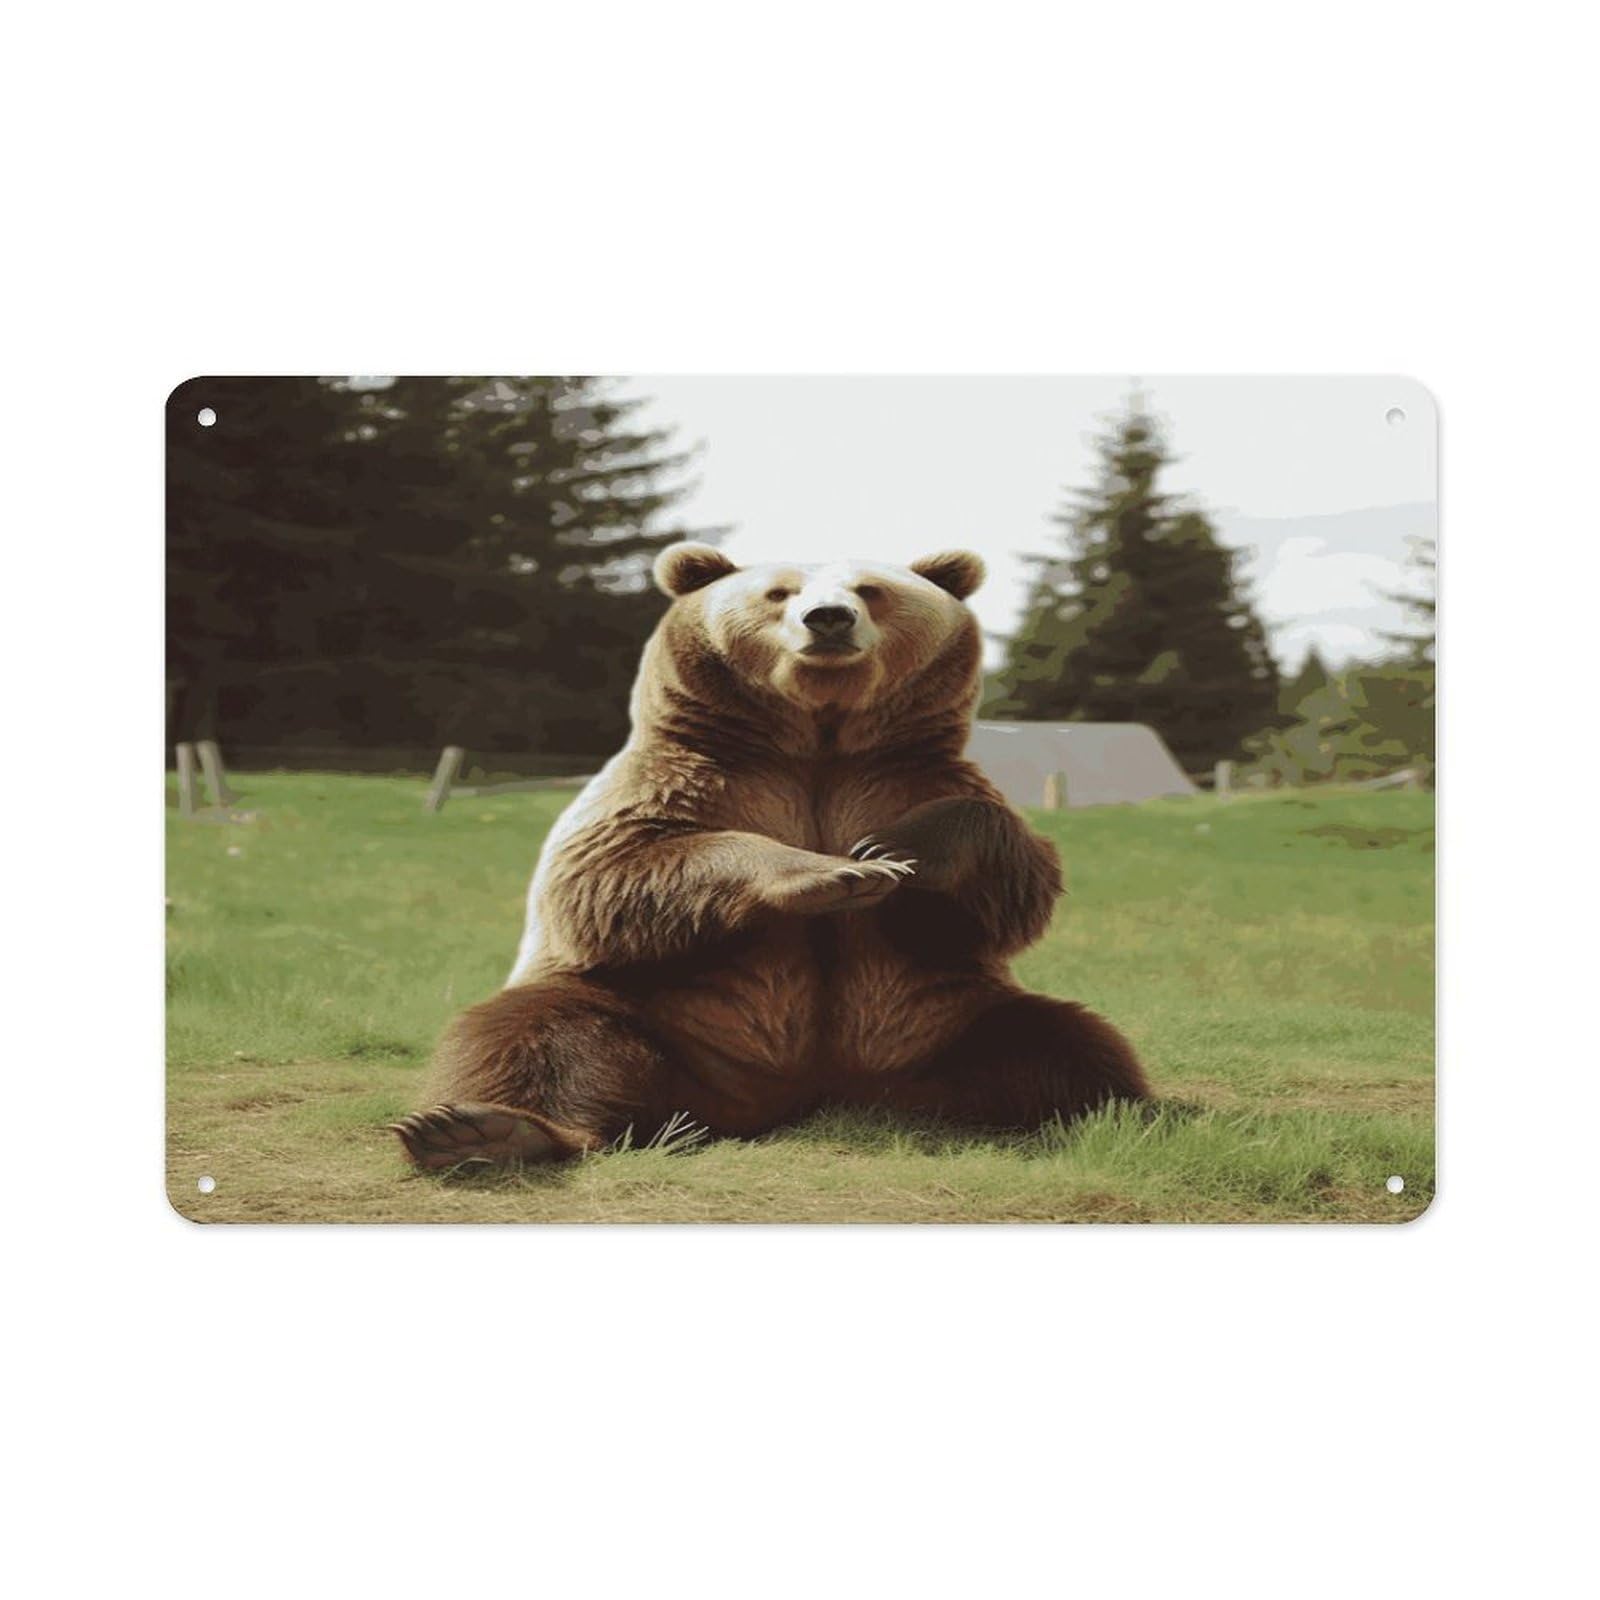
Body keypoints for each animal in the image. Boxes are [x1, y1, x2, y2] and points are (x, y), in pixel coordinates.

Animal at [391, 541, 1149, 1170]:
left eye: (871, 589)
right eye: (779, 592)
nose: (828, 619)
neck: (817, 741)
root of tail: (800, 1094)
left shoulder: (907, 775)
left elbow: (1013, 876)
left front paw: (892, 848)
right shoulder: (695, 776)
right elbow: (610, 873)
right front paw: (838, 870)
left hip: (939, 1022)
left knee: (1063, 1042)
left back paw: (1110, 1115)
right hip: (667, 1019)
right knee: (539, 1030)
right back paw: (486, 1130)